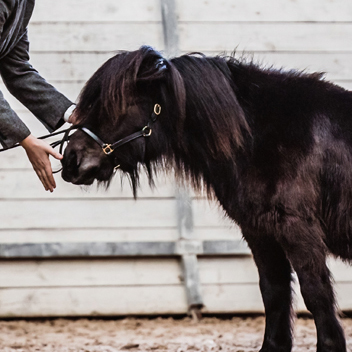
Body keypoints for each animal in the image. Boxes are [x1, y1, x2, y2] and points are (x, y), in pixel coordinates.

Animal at [62, 45, 352, 350]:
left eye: (117, 104)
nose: (71, 159)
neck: (262, 138)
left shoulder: (298, 231)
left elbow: (316, 294)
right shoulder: (260, 233)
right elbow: (274, 293)